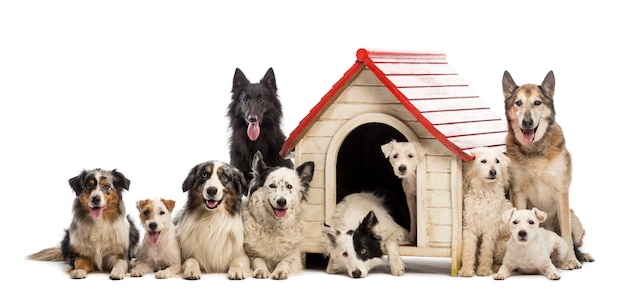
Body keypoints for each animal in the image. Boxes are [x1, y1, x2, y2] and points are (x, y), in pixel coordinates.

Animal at [456, 146, 510, 276]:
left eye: (497, 161)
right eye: (483, 161)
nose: (493, 172)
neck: (485, 193)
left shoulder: (490, 230)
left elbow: (486, 251)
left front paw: (484, 270)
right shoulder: (469, 228)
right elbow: (468, 250)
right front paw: (466, 270)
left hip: (501, 244)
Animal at [500, 70, 592, 270]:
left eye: (537, 103)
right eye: (518, 103)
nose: (527, 122)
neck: (534, 150)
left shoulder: (561, 192)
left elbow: (566, 234)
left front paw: (570, 260)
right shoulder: (518, 193)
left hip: (575, 221)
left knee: (575, 240)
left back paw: (582, 256)